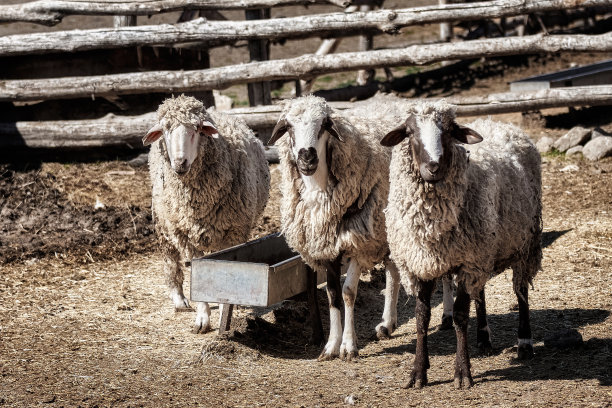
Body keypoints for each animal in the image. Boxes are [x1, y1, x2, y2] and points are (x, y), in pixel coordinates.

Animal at [143, 95, 270, 334]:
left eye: (197, 129)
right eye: (165, 130)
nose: (180, 163)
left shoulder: (235, 233)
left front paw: (225, 311)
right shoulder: (185, 235)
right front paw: (203, 318)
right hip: (163, 222)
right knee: (170, 259)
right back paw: (180, 300)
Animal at [266, 95, 400, 360]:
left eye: (324, 125)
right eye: (289, 127)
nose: (306, 157)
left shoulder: (358, 241)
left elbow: (347, 292)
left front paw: (348, 346)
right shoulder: (327, 245)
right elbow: (332, 294)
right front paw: (331, 346)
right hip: (387, 230)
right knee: (393, 269)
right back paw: (387, 324)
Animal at [380, 99, 544, 388]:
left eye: (448, 131)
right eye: (410, 132)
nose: (433, 166)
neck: (431, 226)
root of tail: (497, 122)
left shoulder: (468, 262)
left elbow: (459, 316)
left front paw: (462, 373)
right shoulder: (421, 265)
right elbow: (422, 318)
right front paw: (418, 373)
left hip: (524, 243)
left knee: (520, 291)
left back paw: (524, 343)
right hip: (485, 249)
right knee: (481, 292)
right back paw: (484, 339)